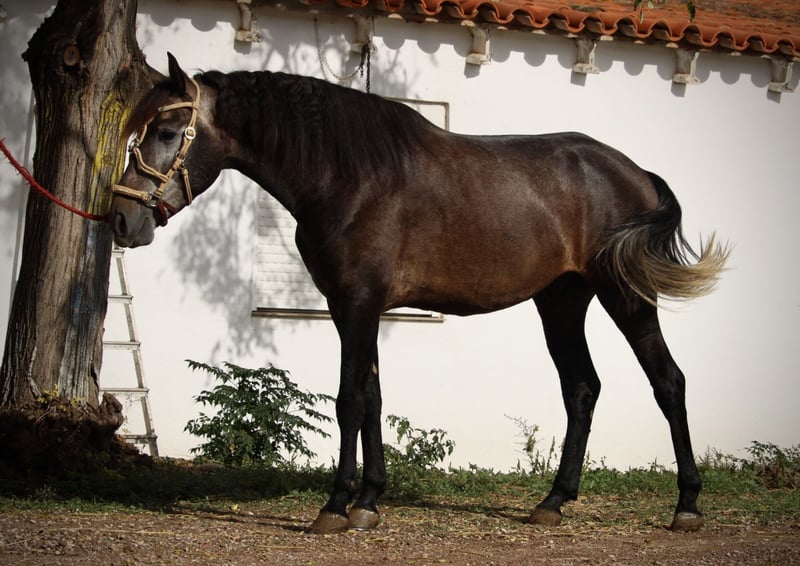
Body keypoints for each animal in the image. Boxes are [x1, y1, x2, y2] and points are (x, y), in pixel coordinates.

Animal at [110, 53, 728, 534]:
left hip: (625, 297)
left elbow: (349, 400)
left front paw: (335, 506)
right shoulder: (351, 310)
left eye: (166, 132)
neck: (348, 175)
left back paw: (687, 506)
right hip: (560, 301)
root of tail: (637, 172)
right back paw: (553, 502)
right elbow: (373, 397)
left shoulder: (358, 305)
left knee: (668, 383)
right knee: (581, 388)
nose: (121, 220)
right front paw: (368, 501)